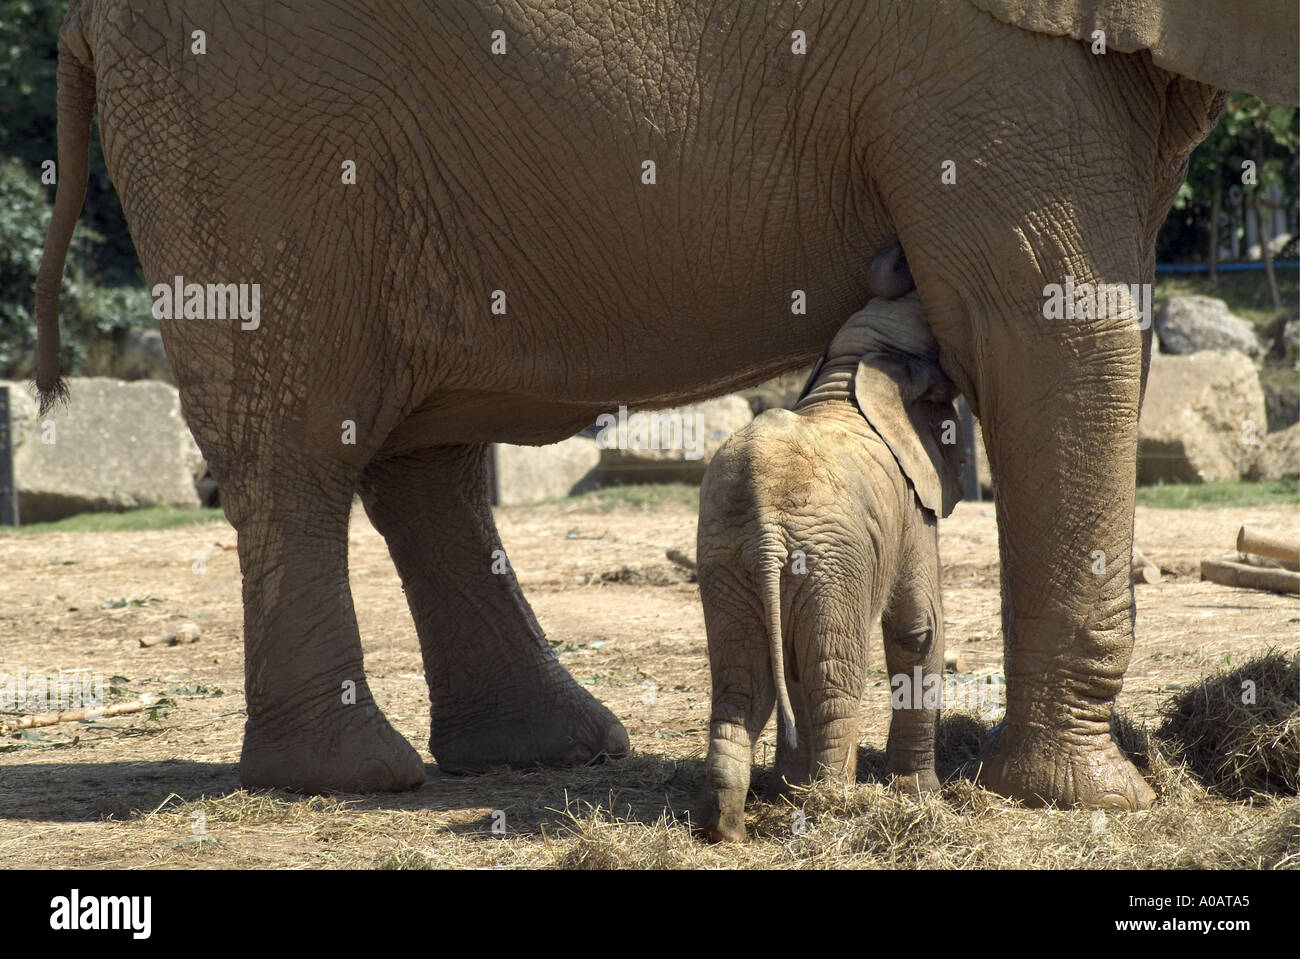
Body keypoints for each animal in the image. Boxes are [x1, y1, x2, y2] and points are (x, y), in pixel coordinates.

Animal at [695, 293, 962, 842]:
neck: (852, 368)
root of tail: (765, 521)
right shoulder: (911, 503)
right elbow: (917, 628)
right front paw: (923, 796)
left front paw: (788, 792)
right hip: (831, 558)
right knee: (831, 677)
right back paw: (833, 807)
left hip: (726, 559)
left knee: (742, 683)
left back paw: (725, 829)